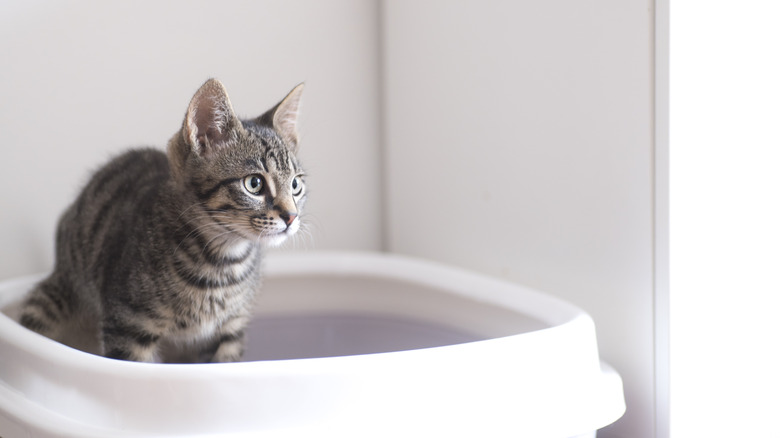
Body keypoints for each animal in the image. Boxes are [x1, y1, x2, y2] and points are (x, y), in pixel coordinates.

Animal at [18, 78, 304, 362]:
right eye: (254, 184)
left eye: (295, 185)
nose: (291, 216)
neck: (222, 264)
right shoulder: (129, 326)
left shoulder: (230, 334)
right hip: (49, 300)